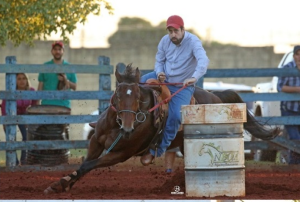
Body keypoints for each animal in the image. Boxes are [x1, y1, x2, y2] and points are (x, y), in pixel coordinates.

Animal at [43, 64, 280, 194]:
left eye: (137, 96)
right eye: (118, 94)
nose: (127, 128)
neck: (116, 124)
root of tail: (215, 96)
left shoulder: (121, 154)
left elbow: (89, 165)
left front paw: (61, 184)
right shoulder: (95, 142)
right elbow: (85, 164)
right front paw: (60, 184)